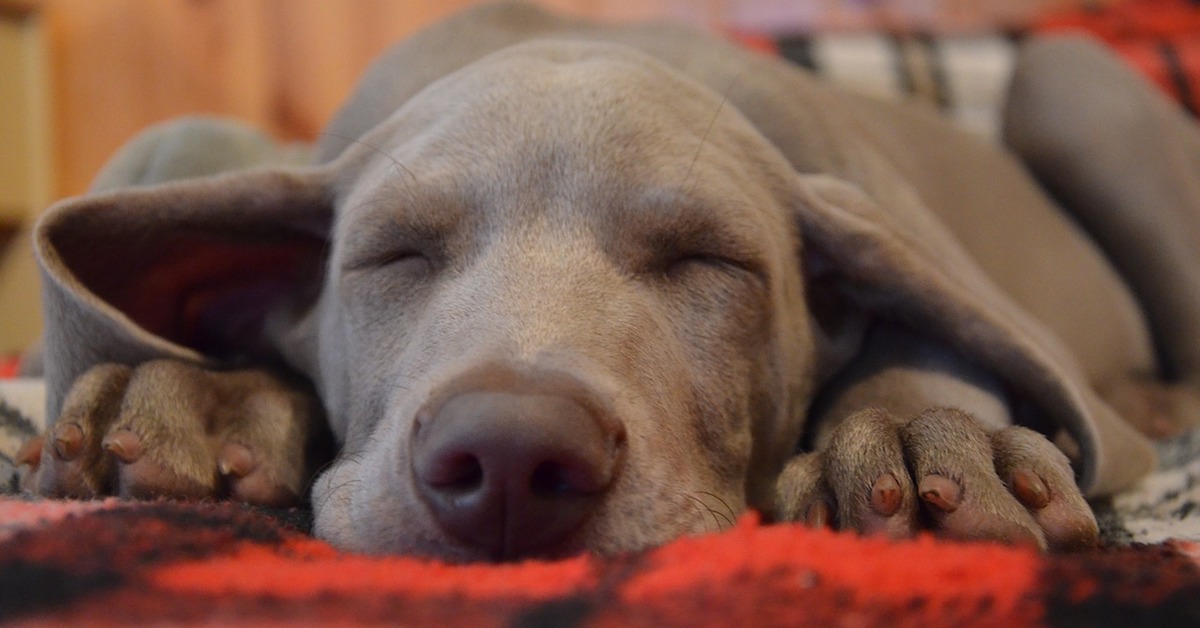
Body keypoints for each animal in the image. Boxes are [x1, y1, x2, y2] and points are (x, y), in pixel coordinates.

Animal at [16, 0, 1200, 559]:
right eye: (395, 254)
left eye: (710, 260)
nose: (506, 457)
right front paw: (199, 399)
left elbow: (932, 336)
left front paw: (925, 445)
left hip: (1070, 76)